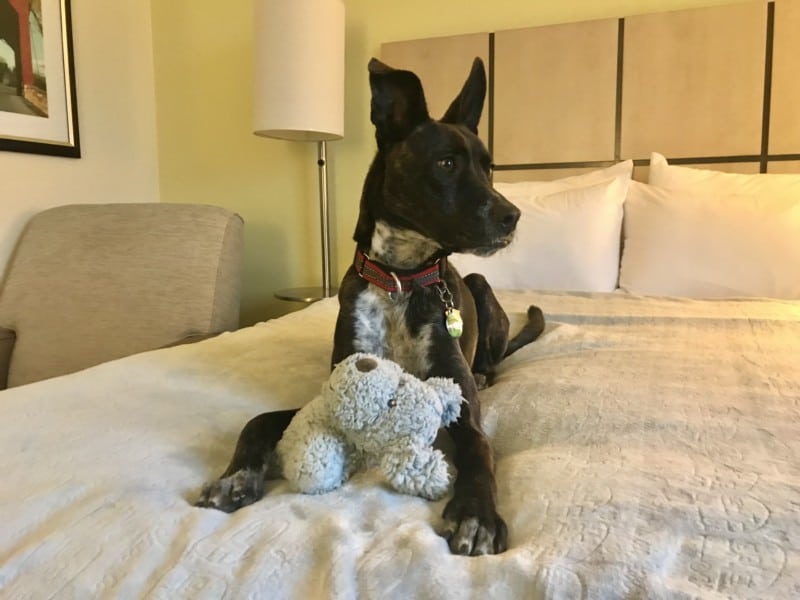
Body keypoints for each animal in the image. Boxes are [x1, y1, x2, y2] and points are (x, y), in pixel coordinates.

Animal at [196, 58, 544, 556]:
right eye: (446, 163)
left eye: (488, 166)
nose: (512, 216)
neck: (401, 278)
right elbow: (258, 420)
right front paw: (235, 476)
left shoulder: (463, 410)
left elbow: (479, 450)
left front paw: (476, 514)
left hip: (479, 286)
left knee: (492, 361)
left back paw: (483, 372)